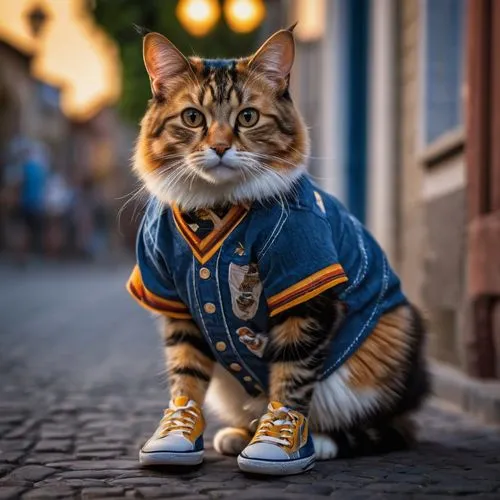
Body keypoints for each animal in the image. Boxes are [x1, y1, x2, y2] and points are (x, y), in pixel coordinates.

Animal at [127, 24, 428, 476]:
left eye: (247, 117)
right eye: (193, 117)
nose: (220, 147)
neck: (216, 208)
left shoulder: (305, 287)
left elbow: (291, 376)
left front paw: (276, 443)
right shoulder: (174, 298)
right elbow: (186, 373)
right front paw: (175, 436)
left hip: (392, 340)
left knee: (387, 425)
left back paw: (318, 440)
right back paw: (239, 434)